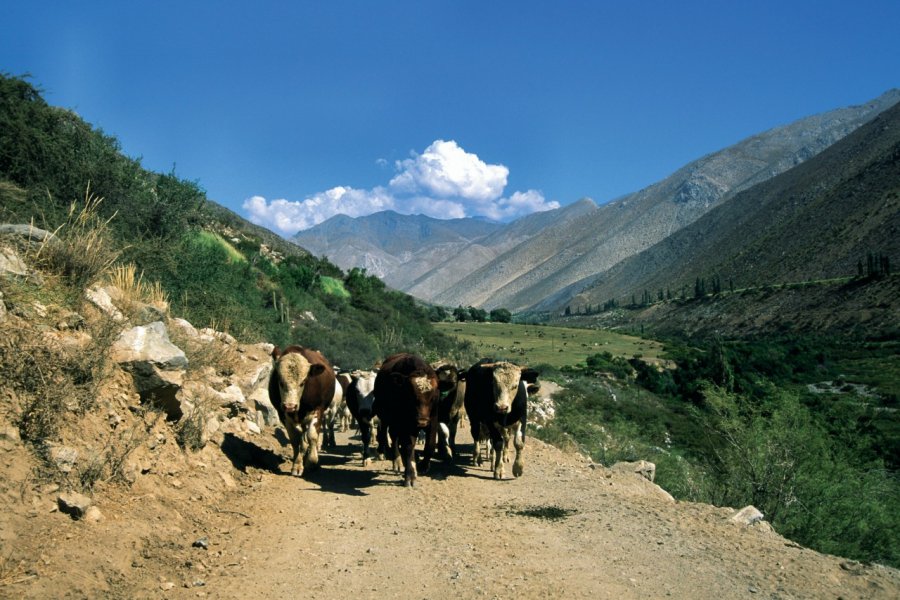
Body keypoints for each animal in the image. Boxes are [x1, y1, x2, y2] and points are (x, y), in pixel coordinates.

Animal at [270, 344, 338, 476]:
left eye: (303, 382)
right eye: (280, 381)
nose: (290, 406)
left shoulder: (317, 410)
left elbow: (312, 436)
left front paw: (312, 462)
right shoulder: (284, 415)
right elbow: (296, 439)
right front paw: (297, 465)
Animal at [372, 352, 440, 488]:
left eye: (433, 397)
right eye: (411, 396)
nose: (422, 422)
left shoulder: (433, 420)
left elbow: (430, 445)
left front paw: (423, 466)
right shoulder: (406, 424)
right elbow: (408, 447)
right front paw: (410, 475)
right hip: (387, 418)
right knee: (391, 436)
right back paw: (397, 461)